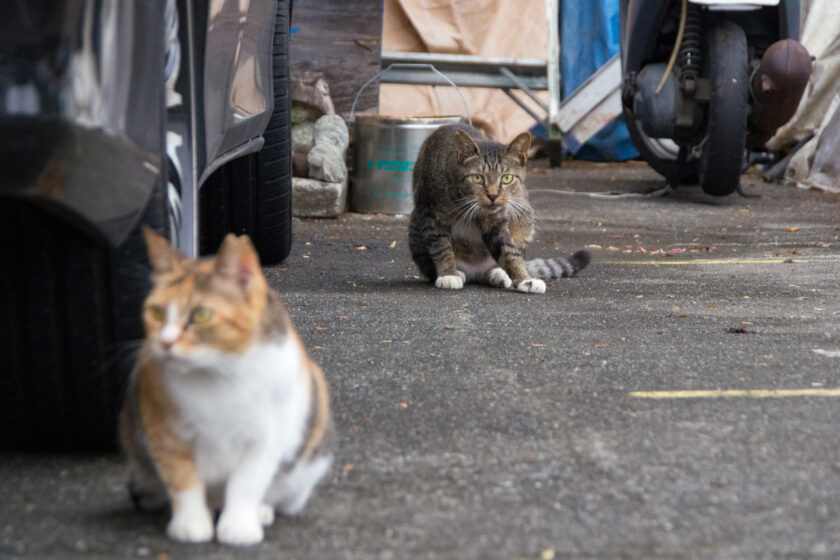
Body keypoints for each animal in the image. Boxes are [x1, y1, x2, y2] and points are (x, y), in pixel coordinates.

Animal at [119, 228, 334, 548]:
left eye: (201, 314)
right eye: (156, 312)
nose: (165, 342)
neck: (219, 374)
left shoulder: (264, 438)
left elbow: (246, 484)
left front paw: (240, 526)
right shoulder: (164, 432)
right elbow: (183, 480)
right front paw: (191, 524)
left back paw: (261, 510)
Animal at [406, 122, 592, 294]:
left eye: (507, 178)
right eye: (477, 178)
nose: (493, 195)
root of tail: (476, 272)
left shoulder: (496, 221)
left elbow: (508, 252)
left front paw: (525, 280)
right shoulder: (430, 214)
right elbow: (441, 246)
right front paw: (448, 274)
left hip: (524, 215)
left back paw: (499, 274)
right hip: (416, 225)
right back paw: (458, 272)